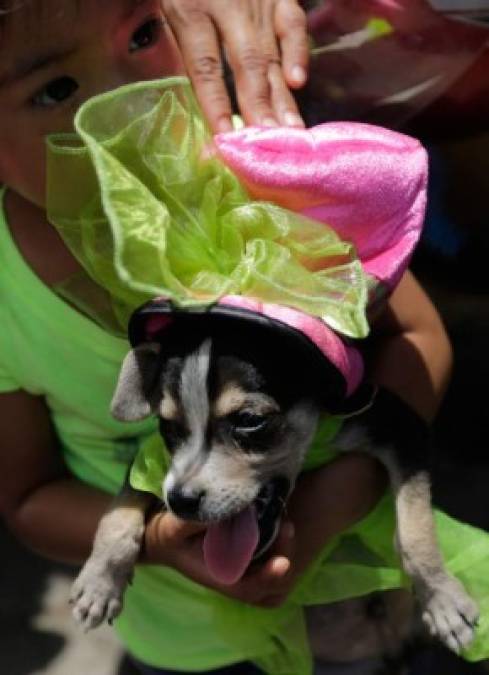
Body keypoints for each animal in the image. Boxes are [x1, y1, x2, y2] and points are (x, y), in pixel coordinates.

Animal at [70, 306, 478, 656]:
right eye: (168, 426)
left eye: (250, 420)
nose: (180, 501)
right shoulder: (151, 463)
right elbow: (119, 511)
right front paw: (98, 581)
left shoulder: (404, 428)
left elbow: (415, 529)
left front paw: (443, 599)